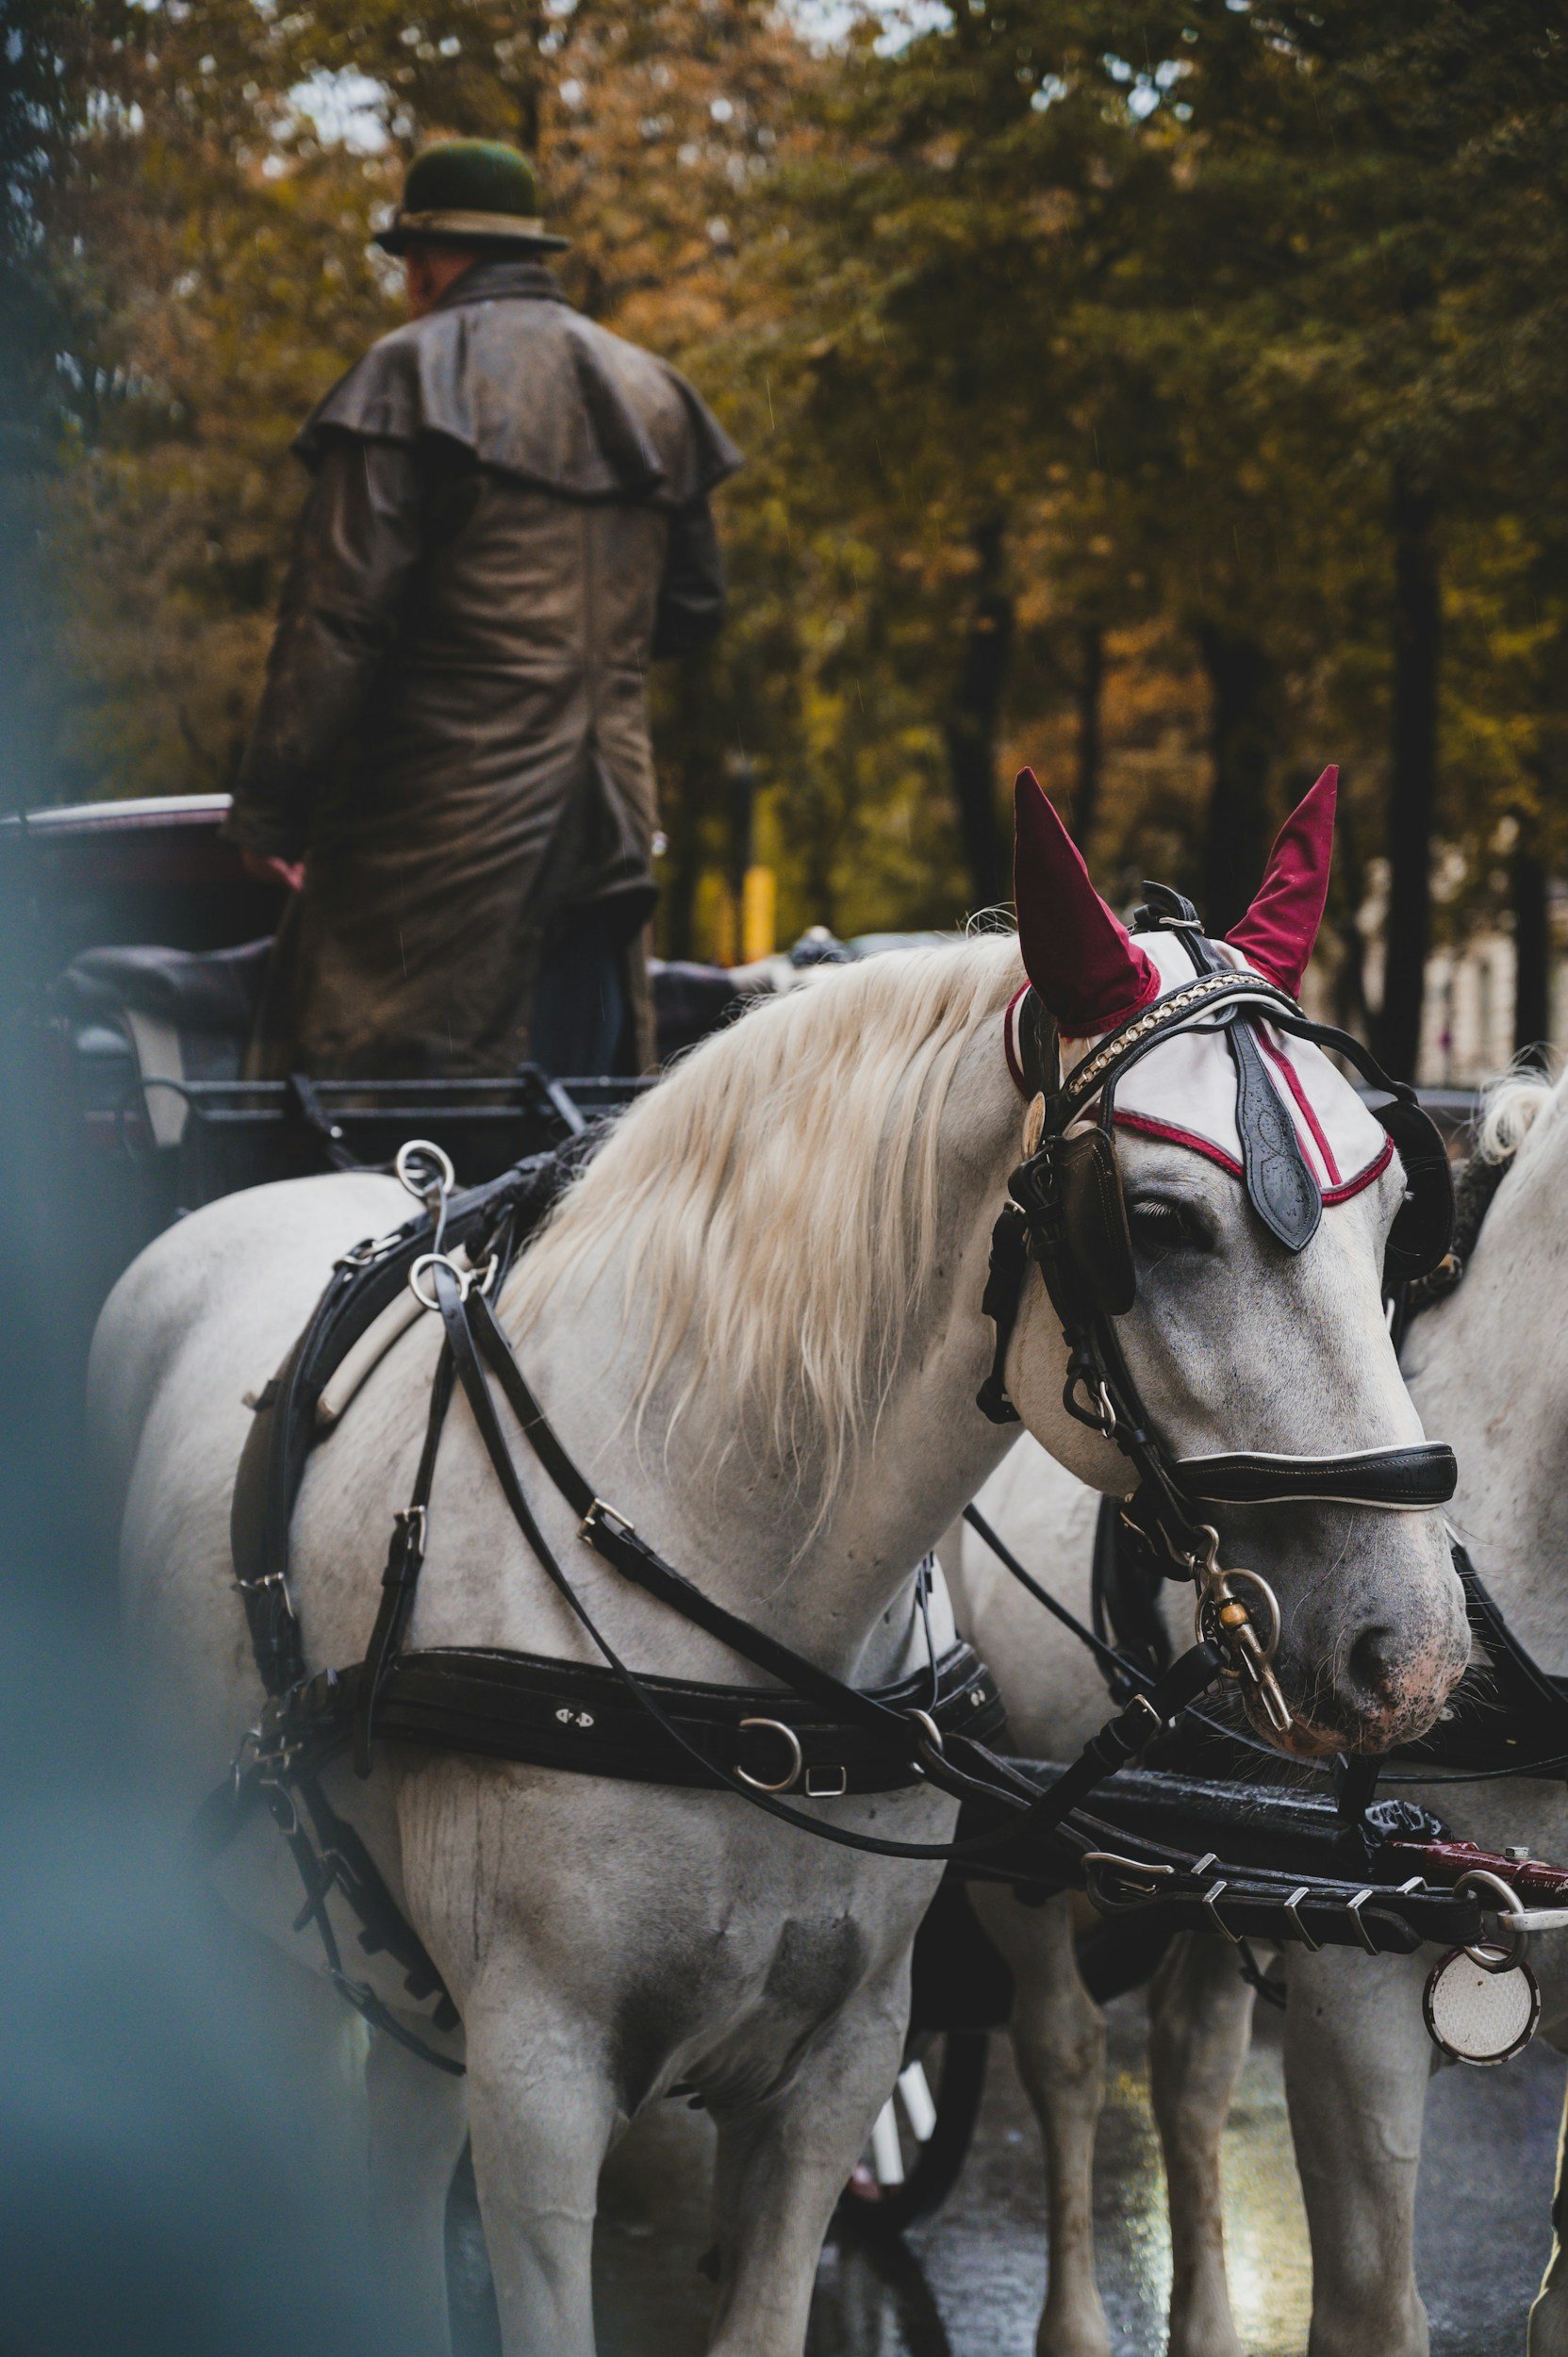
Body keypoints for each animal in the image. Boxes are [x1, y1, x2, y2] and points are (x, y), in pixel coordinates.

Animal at [88, 772, 1464, 2357]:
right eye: (1157, 1224)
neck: (744, 1619)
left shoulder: (836, 2068)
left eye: (1397, 1222)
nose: (1409, 1645)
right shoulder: (536, 2082)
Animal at [948, 1065, 1568, 2357]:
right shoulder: (1357, 1993)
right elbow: (1372, 2306)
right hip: (1008, 1838)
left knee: (1186, 2070)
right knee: (1063, 2050)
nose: (1413, 1661)